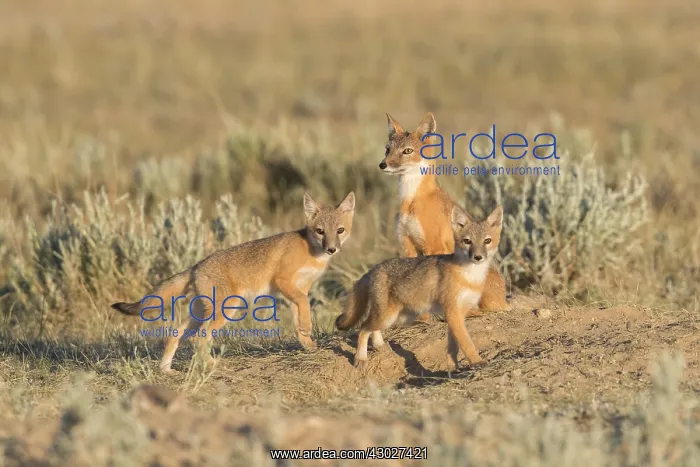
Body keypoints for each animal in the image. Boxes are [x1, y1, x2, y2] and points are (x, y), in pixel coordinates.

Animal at [111, 191, 355, 374]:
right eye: (320, 231)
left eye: (340, 230)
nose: (331, 249)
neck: (312, 252)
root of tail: (197, 266)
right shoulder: (284, 281)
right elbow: (304, 305)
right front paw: (307, 328)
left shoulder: (297, 289)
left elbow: (298, 319)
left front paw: (308, 344)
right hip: (227, 309)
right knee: (199, 339)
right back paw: (212, 364)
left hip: (201, 313)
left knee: (177, 333)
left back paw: (167, 370)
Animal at [336, 204, 503, 370]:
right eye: (467, 241)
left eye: (487, 241)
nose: (478, 257)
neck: (470, 278)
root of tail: (375, 268)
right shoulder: (453, 312)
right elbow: (467, 343)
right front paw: (477, 361)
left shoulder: (457, 314)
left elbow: (453, 347)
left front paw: (452, 368)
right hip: (388, 317)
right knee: (363, 328)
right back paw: (361, 358)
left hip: (398, 317)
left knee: (371, 328)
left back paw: (379, 345)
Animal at [378, 112, 509, 317]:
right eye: (387, 149)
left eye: (407, 151)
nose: (383, 165)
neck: (411, 201)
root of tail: (504, 298)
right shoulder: (407, 244)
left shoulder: (434, 246)